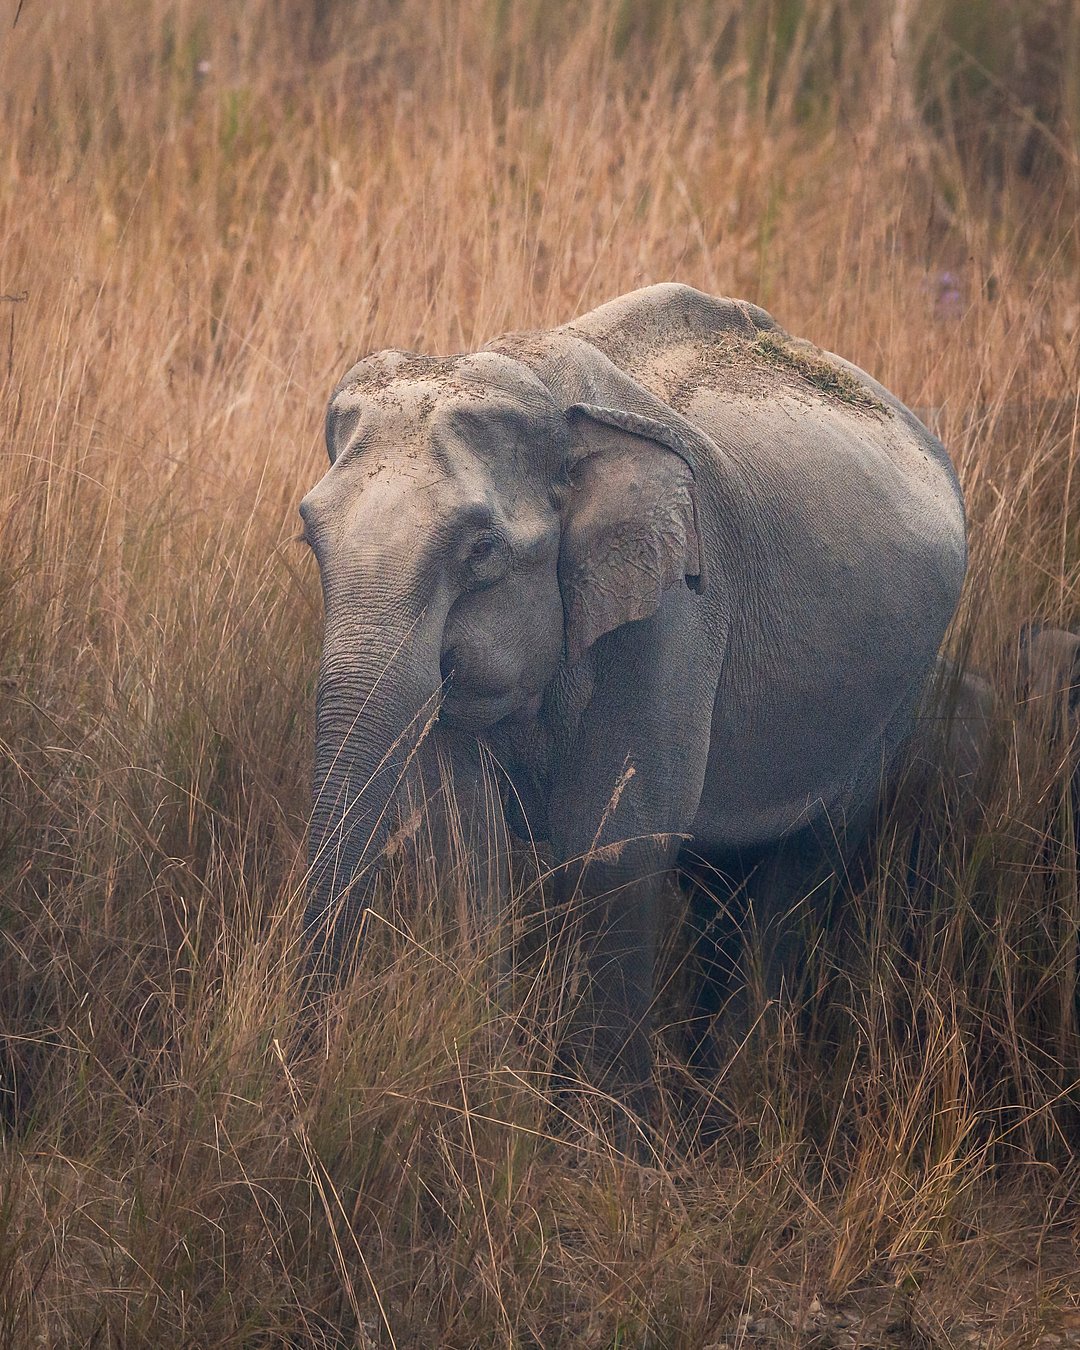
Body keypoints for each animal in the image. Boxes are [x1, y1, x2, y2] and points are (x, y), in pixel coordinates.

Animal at [298, 282, 968, 1128]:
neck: (542, 388)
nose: (304, 1076)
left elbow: (616, 848)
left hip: (895, 698)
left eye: (481, 550)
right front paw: (487, 1093)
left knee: (801, 872)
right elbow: (470, 849)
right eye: (309, 535)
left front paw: (603, 1141)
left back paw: (728, 1104)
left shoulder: (675, 612)